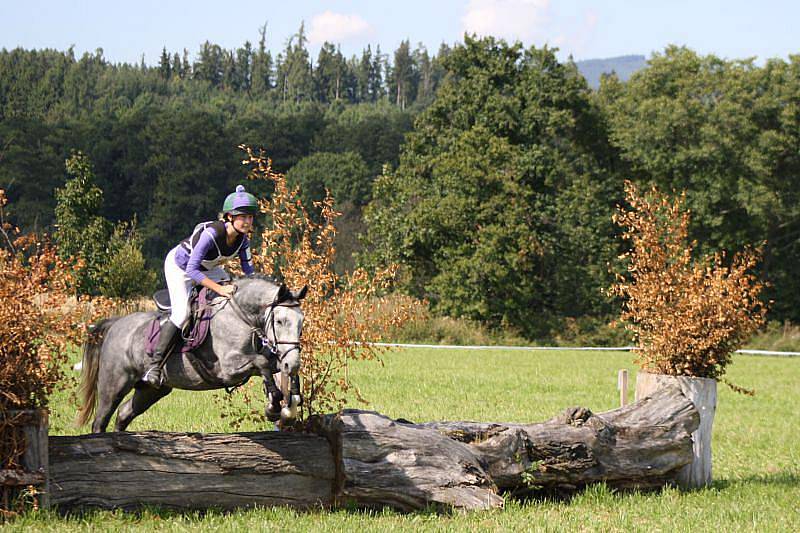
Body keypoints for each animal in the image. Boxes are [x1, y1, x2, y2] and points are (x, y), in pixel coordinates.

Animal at [76, 274, 306, 432]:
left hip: (151, 390)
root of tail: (115, 324)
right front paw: (274, 405)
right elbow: (262, 363)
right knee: (100, 420)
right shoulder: (229, 368)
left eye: (301, 323)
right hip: (114, 385)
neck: (241, 316)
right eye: (280, 321)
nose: (293, 362)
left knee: (123, 414)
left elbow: (278, 369)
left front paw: (288, 408)